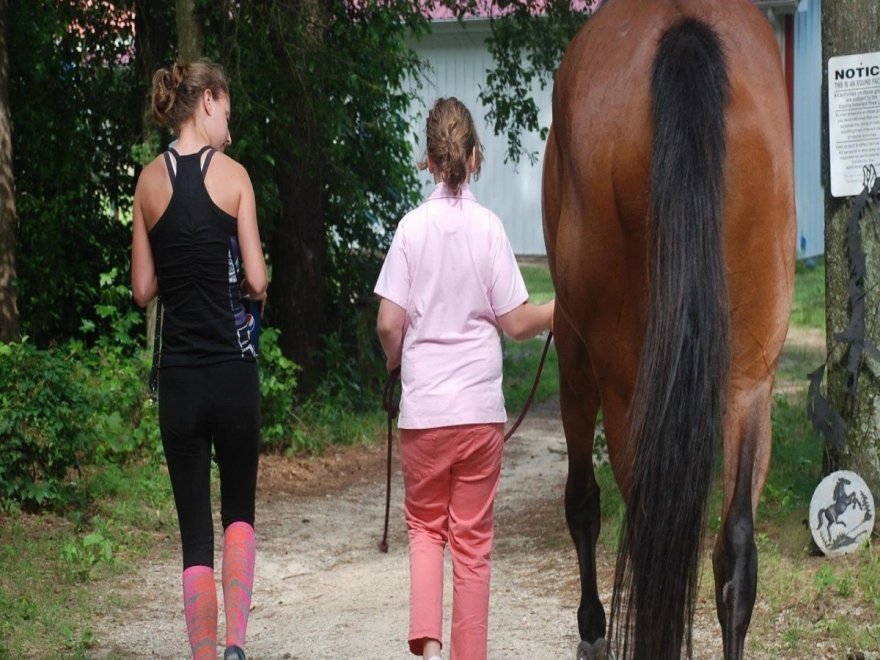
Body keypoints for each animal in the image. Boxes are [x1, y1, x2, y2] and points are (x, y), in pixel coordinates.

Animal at [544, 1, 796, 660]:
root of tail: (685, 27)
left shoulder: (574, 358)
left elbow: (583, 502)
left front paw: (592, 628)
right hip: (751, 380)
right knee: (736, 549)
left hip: (619, 382)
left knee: (639, 524)